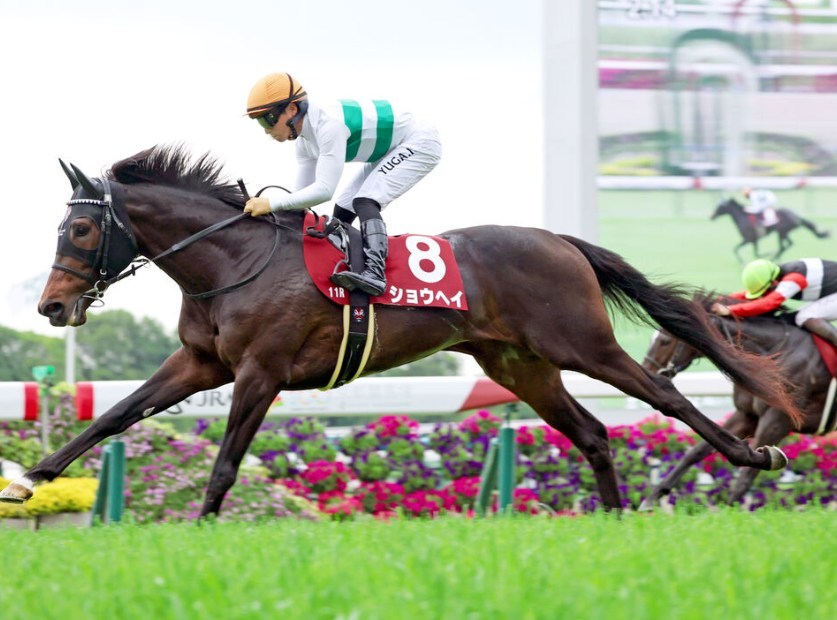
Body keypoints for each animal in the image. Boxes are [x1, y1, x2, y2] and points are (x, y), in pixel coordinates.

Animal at [0, 145, 799, 517]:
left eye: (79, 229)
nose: (51, 308)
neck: (231, 260)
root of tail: (560, 240)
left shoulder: (259, 372)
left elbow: (226, 461)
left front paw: (199, 527)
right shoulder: (200, 363)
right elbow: (112, 416)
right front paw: (29, 479)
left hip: (581, 345)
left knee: (665, 400)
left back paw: (750, 454)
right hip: (519, 366)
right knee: (595, 434)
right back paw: (612, 517)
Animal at [640, 299, 835, 508]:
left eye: (664, 341)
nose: (646, 369)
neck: (775, 354)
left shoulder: (777, 420)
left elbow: (746, 475)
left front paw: (729, 509)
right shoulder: (747, 416)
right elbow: (697, 451)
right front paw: (653, 497)